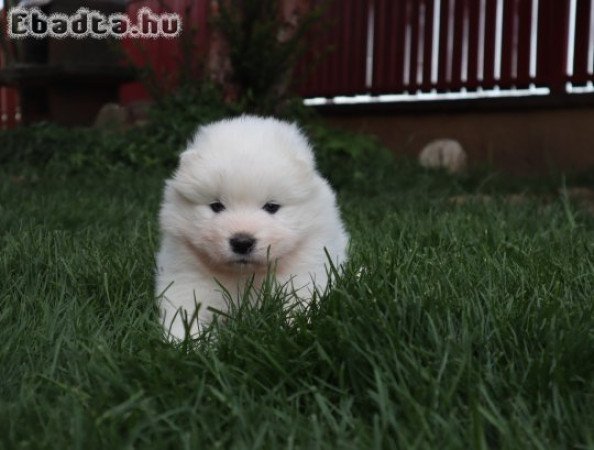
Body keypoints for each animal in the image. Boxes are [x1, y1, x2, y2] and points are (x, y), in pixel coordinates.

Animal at [155, 114, 346, 340]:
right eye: (217, 206)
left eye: (271, 207)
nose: (242, 242)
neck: (244, 276)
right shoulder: (185, 278)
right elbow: (183, 314)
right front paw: (187, 343)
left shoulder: (304, 274)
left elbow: (298, 307)